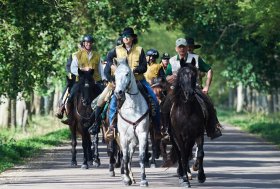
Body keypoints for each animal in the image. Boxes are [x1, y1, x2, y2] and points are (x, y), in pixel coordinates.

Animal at [114, 57, 150, 186]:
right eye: (115, 75)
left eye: (127, 73)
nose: (118, 92)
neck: (132, 107)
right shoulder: (123, 137)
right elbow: (124, 157)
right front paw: (126, 178)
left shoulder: (143, 134)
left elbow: (141, 157)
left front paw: (143, 180)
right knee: (125, 156)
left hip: (134, 142)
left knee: (130, 156)